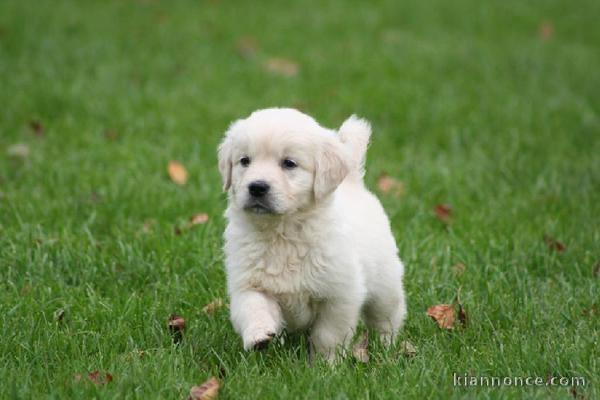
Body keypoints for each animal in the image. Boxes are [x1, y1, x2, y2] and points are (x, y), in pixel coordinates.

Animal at [219, 108, 408, 360]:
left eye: (289, 163)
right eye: (244, 161)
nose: (257, 187)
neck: (281, 233)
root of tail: (353, 182)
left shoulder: (340, 294)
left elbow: (328, 335)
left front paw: (325, 363)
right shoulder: (248, 283)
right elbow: (253, 308)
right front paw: (259, 337)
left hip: (385, 285)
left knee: (387, 316)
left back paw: (386, 346)